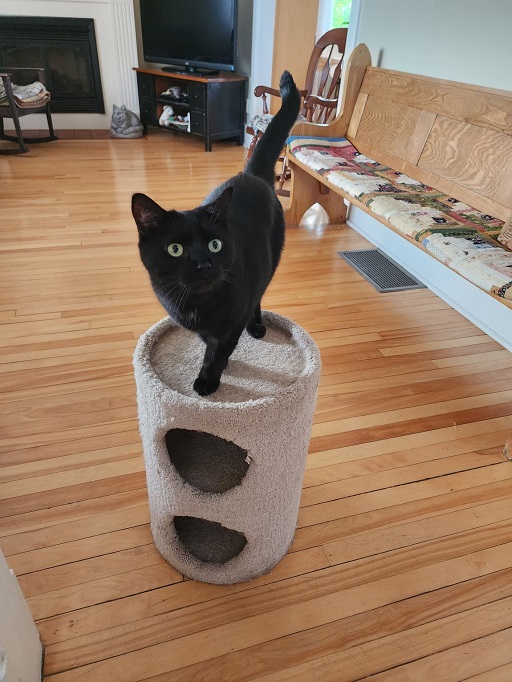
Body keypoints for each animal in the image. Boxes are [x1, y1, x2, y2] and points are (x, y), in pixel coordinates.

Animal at [132, 70, 302, 394]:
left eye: (214, 245)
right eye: (175, 249)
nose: (203, 265)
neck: (196, 305)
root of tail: (251, 174)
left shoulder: (231, 323)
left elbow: (218, 350)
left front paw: (208, 381)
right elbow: (206, 340)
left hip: (269, 261)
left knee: (258, 296)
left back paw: (256, 326)